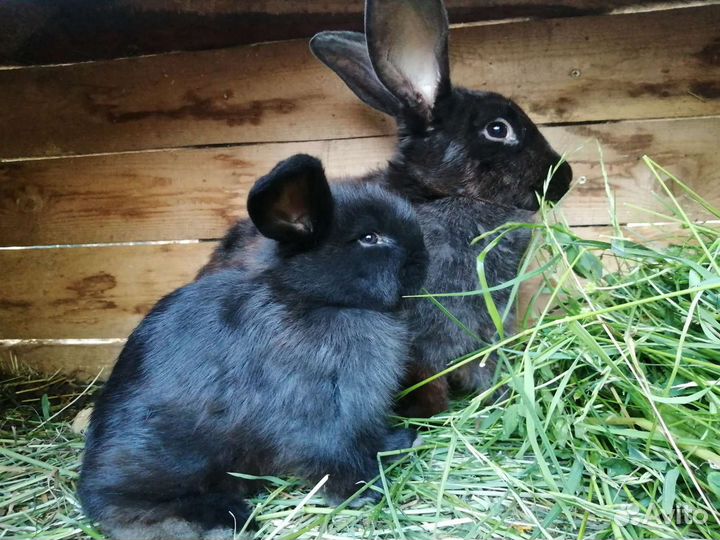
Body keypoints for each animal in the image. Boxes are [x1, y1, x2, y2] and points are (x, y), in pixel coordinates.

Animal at [78, 154, 428, 540]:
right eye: (369, 237)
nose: (424, 259)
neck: (314, 300)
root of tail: (90, 489)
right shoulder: (321, 414)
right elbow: (333, 457)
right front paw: (365, 493)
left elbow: (371, 440)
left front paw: (400, 443)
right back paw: (224, 519)